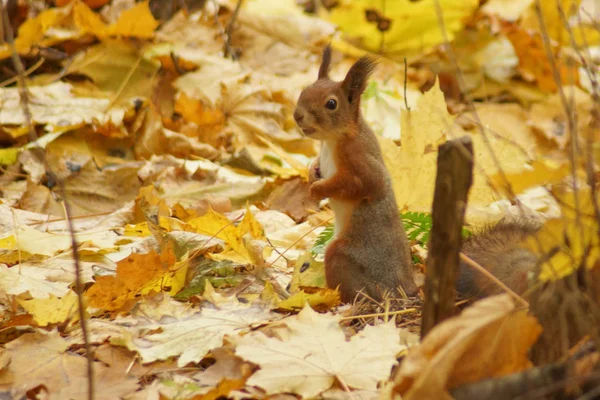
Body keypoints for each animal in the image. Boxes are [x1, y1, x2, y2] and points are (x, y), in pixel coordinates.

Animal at [292, 45, 536, 304]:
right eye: (304, 90)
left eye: (331, 104)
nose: (297, 115)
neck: (332, 141)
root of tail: (405, 286)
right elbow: (318, 166)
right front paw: (312, 173)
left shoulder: (360, 158)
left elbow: (364, 184)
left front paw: (318, 189)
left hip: (344, 255)